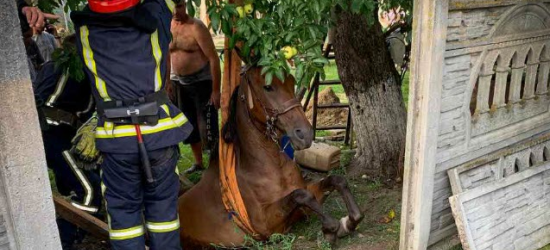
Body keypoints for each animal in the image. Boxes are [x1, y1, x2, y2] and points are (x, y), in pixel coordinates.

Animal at [179, 66, 364, 248]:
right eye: (267, 87)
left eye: (292, 82)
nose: (305, 134)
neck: (272, 168)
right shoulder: (265, 226)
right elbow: (301, 195)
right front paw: (330, 228)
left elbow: (335, 180)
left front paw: (349, 221)